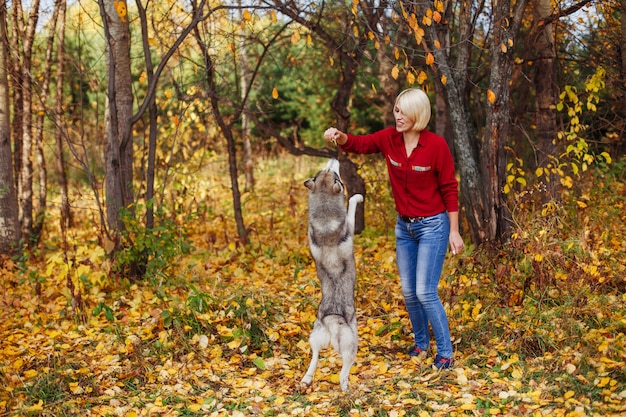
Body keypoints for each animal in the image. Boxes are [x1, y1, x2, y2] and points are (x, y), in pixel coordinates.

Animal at [302, 158, 364, 392]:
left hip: (314, 337)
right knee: (342, 373)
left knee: (314, 356)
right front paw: (357, 196)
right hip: (351, 344)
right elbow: (351, 205)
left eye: (324, 171)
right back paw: (347, 388)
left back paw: (306, 378)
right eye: (335, 174)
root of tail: (331, 320)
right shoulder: (350, 224)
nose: (334, 159)